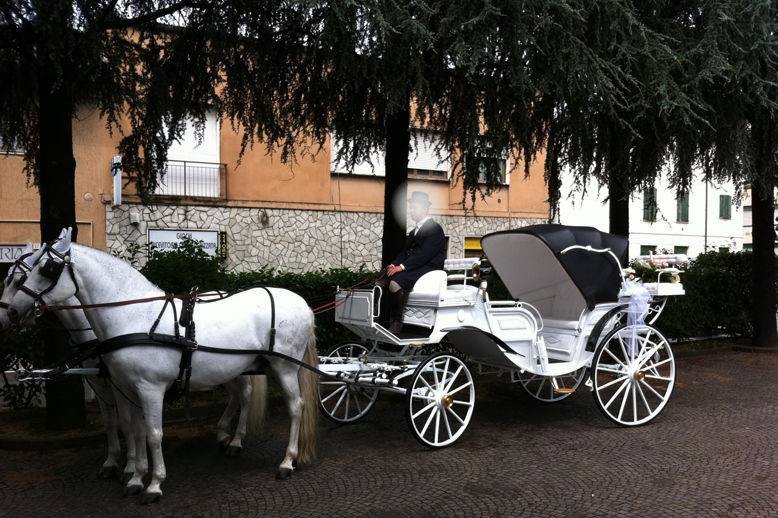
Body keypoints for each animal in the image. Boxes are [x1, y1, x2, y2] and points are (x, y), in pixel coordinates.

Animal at [7, 230, 316, 506]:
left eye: (47, 269)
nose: (12, 311)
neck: (135, 317)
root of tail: (302, 303)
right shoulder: (126, 388)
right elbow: (135, 429)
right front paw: (135, 478)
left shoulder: (150, 388)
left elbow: (154, 435)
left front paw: (154, 484)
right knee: (245, 395)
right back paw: (234, 441)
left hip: (285, 368)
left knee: (295, 407)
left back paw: (287, 461)